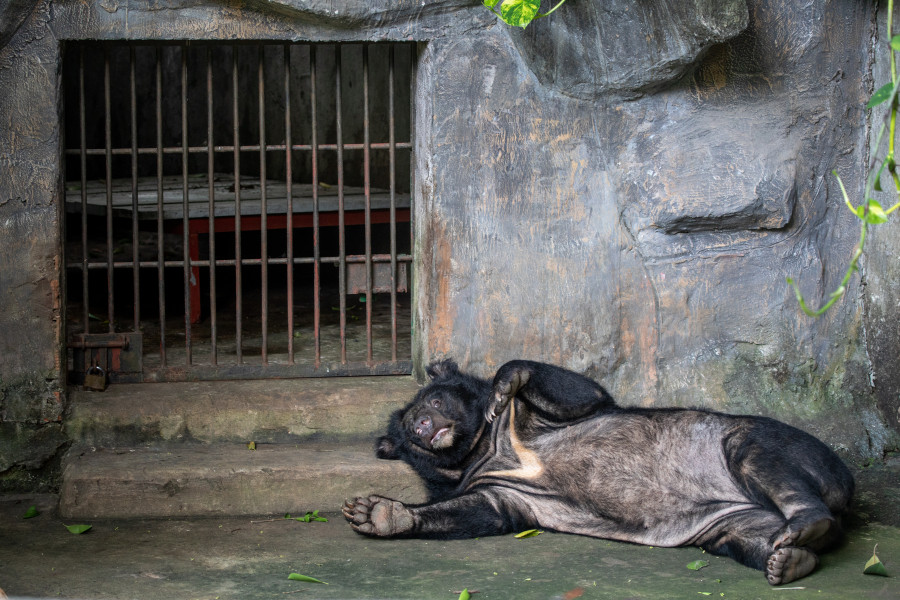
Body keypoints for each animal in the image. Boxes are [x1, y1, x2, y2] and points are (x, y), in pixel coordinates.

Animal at [342, 358, 852, 584]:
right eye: (406, 433)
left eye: (433, 400)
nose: (420, 424)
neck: (485, 450)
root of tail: (845, 487)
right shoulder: (500, 489)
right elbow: (483, 511)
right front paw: (375, 514)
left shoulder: (537, 419)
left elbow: (582, 392)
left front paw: (504, 384)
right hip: (730, 524)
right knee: (746, 538)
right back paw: (789, 559)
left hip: (773, 444)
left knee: (757, 454)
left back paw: (806, 524)